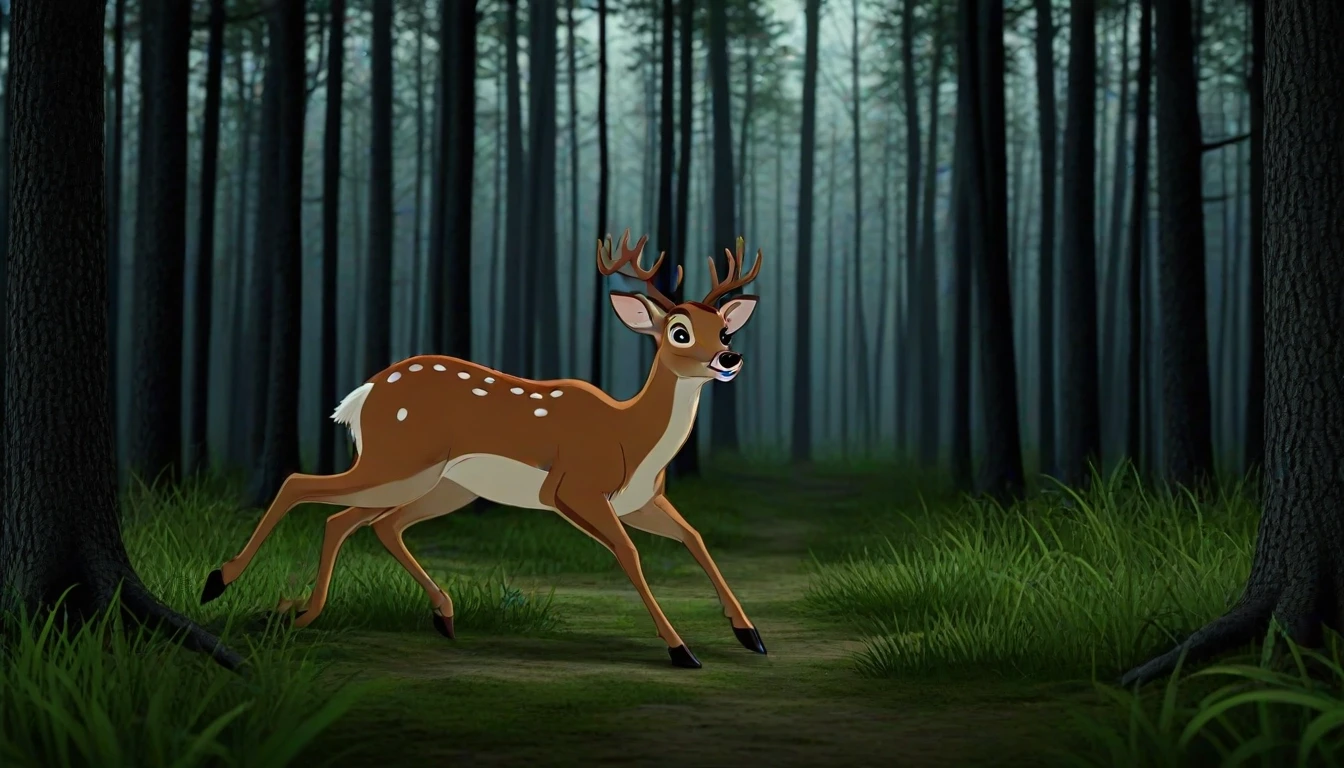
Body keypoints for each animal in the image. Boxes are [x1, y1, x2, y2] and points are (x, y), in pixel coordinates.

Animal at [200, 230, 766, 669]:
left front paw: (749, 634)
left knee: (364, 522)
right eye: (679, 331)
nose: (730, 358)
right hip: (398, 458)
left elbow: (694, 537)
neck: (630, 439)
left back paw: (398, 615)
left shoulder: (643, 500)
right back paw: (220, 582)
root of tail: (363, 395)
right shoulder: (571, 488)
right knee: (302, 486)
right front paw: (681, 649)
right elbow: (629, 552)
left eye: (724, 328)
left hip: (436, 483)